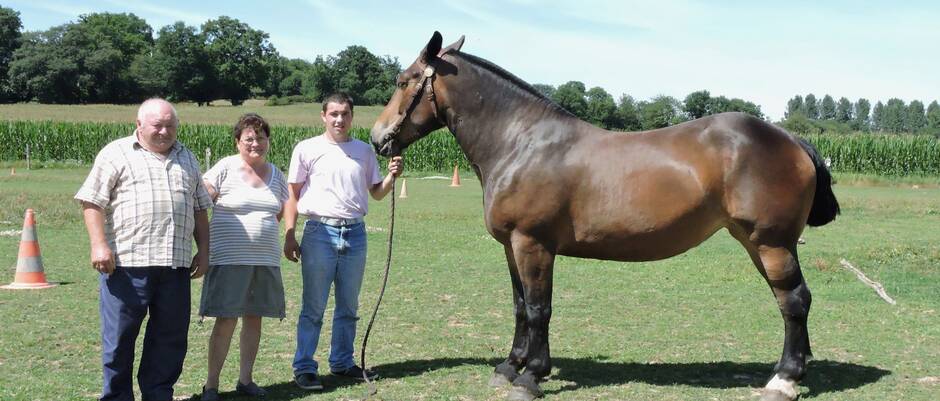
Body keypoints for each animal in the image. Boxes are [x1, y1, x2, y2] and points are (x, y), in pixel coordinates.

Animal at [370, 32, 836, 400]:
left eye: (403, 81)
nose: (377, 138)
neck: (521, 143)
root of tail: (790, 138)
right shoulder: (511, 247)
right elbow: (520, 306)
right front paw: (509, 367)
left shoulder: (533, 244)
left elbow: (539, 309)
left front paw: (532, 376)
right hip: (756, 242)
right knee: (793, 302)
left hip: (771, 243)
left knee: (794, 301)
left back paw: (784, 380)